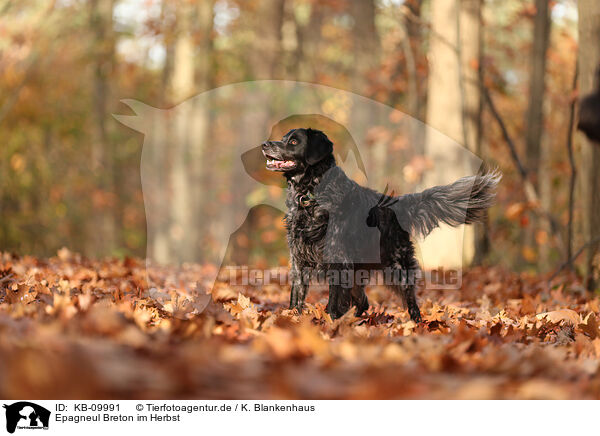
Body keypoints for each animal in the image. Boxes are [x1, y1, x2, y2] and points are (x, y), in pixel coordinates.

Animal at [260, 127, 500, 320]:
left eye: (293, 142)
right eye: (283, 138)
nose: (265, 144)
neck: (310, 196)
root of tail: (397, 205)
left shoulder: (337, 260)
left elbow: (334, 302)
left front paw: (329, 323)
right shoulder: (298, 261)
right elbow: (296, 299)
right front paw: (291, 320)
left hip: (398, 267)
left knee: (411, 302)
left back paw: (417, 324)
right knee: (363, 302)